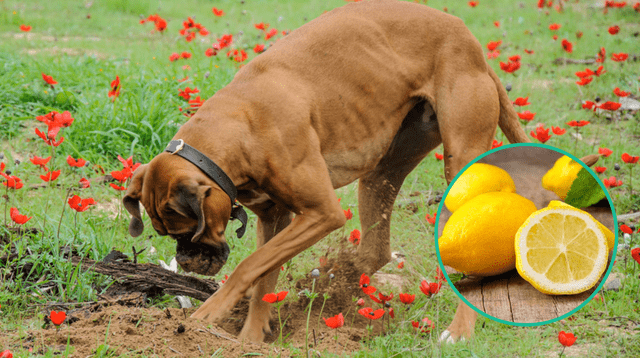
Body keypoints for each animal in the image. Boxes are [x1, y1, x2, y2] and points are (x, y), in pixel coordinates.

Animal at [124, 0, 528, 342]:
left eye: (188, 231)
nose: (186, 262)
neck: (239, 126)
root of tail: (469, 41)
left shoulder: (321, 213)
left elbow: (248, 266)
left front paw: (210, 313)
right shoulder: (276, 219)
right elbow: (263, 277)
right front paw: (250, 340)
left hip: (458, 161)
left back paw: (459, 331)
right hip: (382, 172)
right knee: (375, 250)